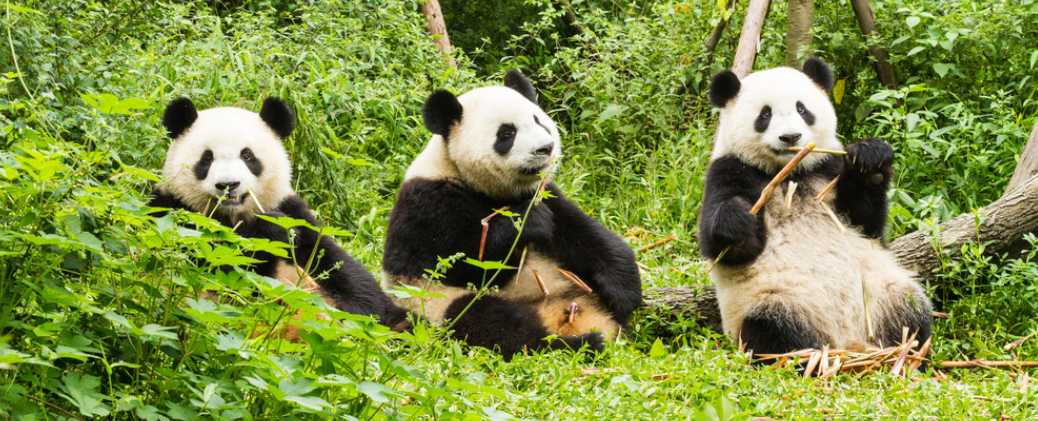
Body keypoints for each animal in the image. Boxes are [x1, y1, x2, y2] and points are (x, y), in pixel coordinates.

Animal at [150, 96, 410, 331]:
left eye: (247, 156)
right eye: (206, 158)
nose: (228, 185)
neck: (234, 216)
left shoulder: (294, 212)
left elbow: (338, 265)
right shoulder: (173, 212)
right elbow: (219, 266)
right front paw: (267, 234)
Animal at [381, 71, 642, 360]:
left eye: (538, 120)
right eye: (507, 133)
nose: (546, 148)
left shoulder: (545, 193)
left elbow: (585, 235)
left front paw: (623, 293)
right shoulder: (427, 204)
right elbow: (455, 262)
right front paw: (527, 222)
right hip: (437, 303)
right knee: (491, 323)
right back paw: (576, 344)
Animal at [698, 58, 932, 356]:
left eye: (802, 109)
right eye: (765, 115)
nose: (790, 137)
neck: (791, 172)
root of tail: (847, 342)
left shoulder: (827, 169)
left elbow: (866, 222)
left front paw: (870, 160)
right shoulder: (729, 170)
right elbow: (726, 249)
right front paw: (737, 220)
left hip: (883, 293)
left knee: (911, 313)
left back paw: (907, 351)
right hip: (774, 300)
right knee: (772, 330)